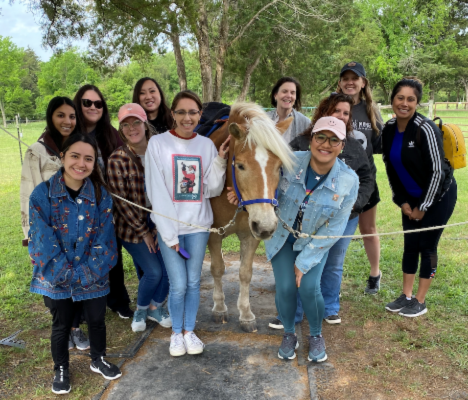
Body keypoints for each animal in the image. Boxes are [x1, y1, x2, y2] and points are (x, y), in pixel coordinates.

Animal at [207, 101, 294, 332]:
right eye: (240, 166)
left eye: (279, 167)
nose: (266, 226)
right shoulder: (213, 234)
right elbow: (217, 268)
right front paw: (219, 308)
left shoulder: (251, 234)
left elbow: (245, 273)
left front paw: (246, 314)